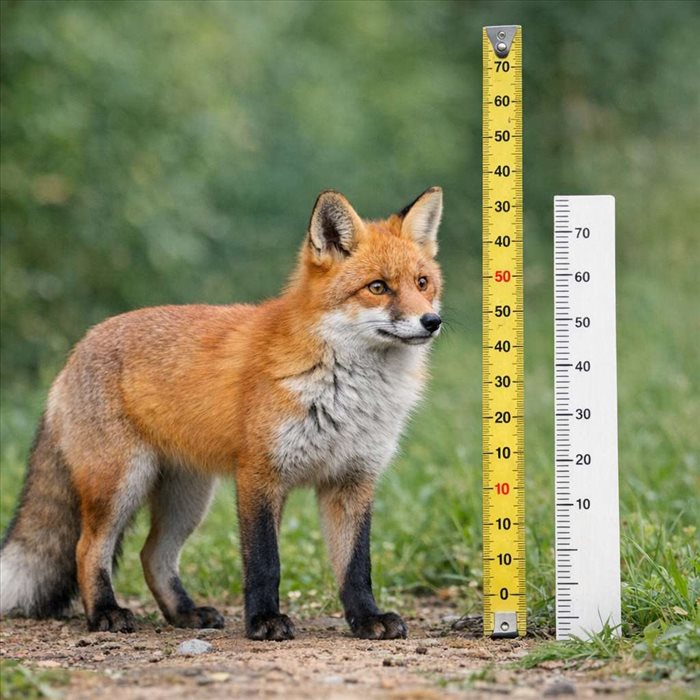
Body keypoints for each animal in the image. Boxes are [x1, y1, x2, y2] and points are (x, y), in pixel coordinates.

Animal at [0, 187, 444, 640]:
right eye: (378, 287)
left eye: (422, 283)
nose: (432, 321)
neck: (344, 389)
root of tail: (75, 352)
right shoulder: (259, 474)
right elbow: (265, 562)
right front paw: (264, 621)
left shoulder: (352, 481)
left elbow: (356, 566)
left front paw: (368, 619)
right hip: (121, 483)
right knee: (87, 548)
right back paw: (105, 613)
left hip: (188, 498)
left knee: (152, 555)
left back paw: (184, 613)